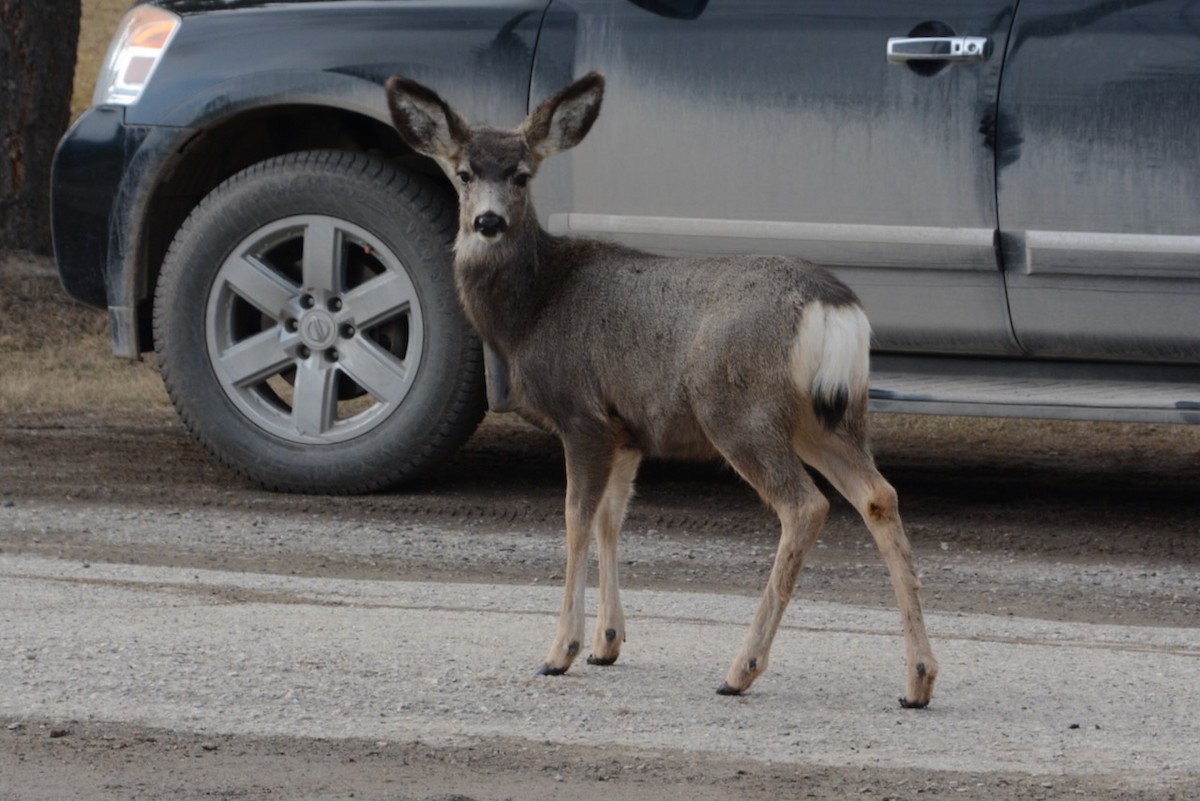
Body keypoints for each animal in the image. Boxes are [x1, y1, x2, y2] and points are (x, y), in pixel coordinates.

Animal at [385, 71, 938, 707]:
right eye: (463, 173)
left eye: (522, 174)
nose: (488, 223)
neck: (531, 312)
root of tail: (833, 307)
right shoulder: (626, 430)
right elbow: (611, 518)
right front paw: (607, 643)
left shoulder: (581, 415)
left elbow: (575, 518)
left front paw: (560, 651)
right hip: (830, 417)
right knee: (879, 495)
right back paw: (918, 680)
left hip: (738, 410)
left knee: (806, 506)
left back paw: (740, 669)